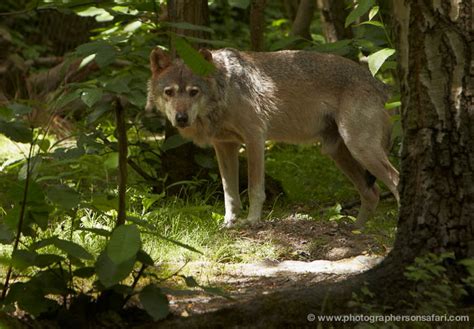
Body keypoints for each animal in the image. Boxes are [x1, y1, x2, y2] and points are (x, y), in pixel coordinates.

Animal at [146, 46, 398, 226]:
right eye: (169, 92)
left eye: (193, 92)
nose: (181, 118)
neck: (226, 89)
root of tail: (381, 85)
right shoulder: (224, 146)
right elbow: (230, 193)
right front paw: (229, 223)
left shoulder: (255, 138)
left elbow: (255, 189)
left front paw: (252, 221)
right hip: (338, 153)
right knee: (372, 193)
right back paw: (356, 229)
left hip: (360, 149)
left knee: (394, 181)